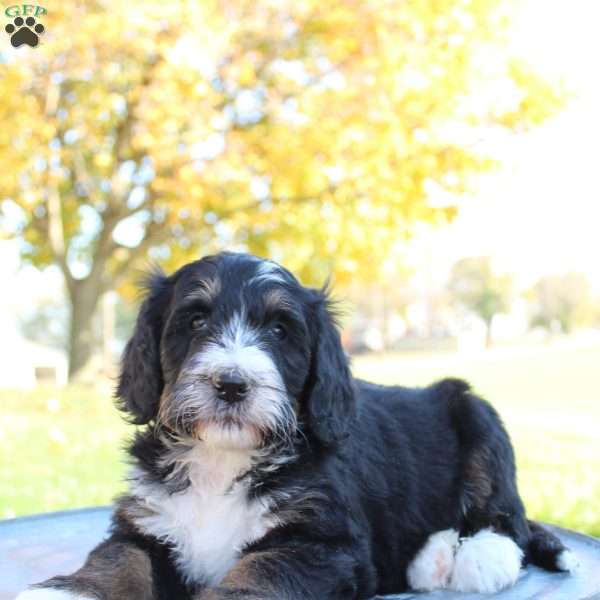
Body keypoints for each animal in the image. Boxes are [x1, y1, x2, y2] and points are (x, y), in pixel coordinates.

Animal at [16, 252, 576, 600]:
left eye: (281, 330)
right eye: (195, 321)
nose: (231, 384)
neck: (221, 459)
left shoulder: (321, 543)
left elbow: (260, 573)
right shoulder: (148, 522)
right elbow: (118, 561)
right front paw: (65, 591)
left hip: (477, 417)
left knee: (505, 518)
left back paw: (477, 558)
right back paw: (432, 558)